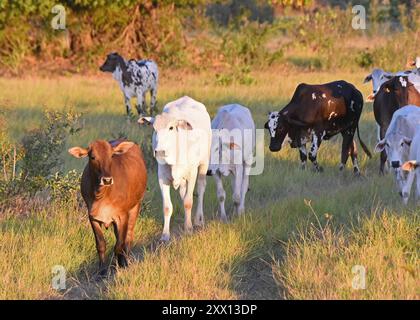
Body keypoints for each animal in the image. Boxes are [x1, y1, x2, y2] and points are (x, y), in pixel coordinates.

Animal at [68, 139, 147, 276]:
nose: (107, 180)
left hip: (136, 206)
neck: (101, 195)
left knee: (128, 237)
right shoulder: (93, 217)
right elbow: (101, 244)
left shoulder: (122, 215)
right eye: (93, 157)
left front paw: (119, 266)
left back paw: (125, 260)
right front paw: (102, 270)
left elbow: (119, 245)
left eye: (111, 156)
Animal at [139, 96, 212, 241]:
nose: (160, 152)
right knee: (183, 193)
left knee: (201, 190)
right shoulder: (162, 178)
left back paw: (198, 220)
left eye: (171, 127)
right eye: (154, 129)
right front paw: (165, 235)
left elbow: (188, 202)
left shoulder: (192, 174)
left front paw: (188, 229)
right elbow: (167, 207)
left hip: (204, 164)